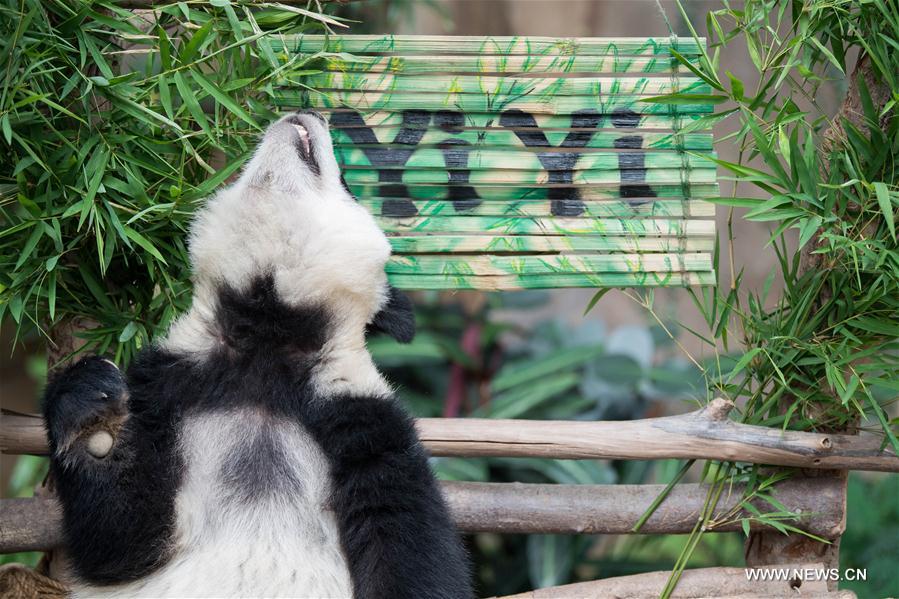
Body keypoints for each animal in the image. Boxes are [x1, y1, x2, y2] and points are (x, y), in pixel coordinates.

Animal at [42, 110, 473, 598]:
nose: (308, 112)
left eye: (346, 183)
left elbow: (414, 553)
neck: (267, 333)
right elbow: (120, 544)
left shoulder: (361, 418)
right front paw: (95, 417)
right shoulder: (169, 384)